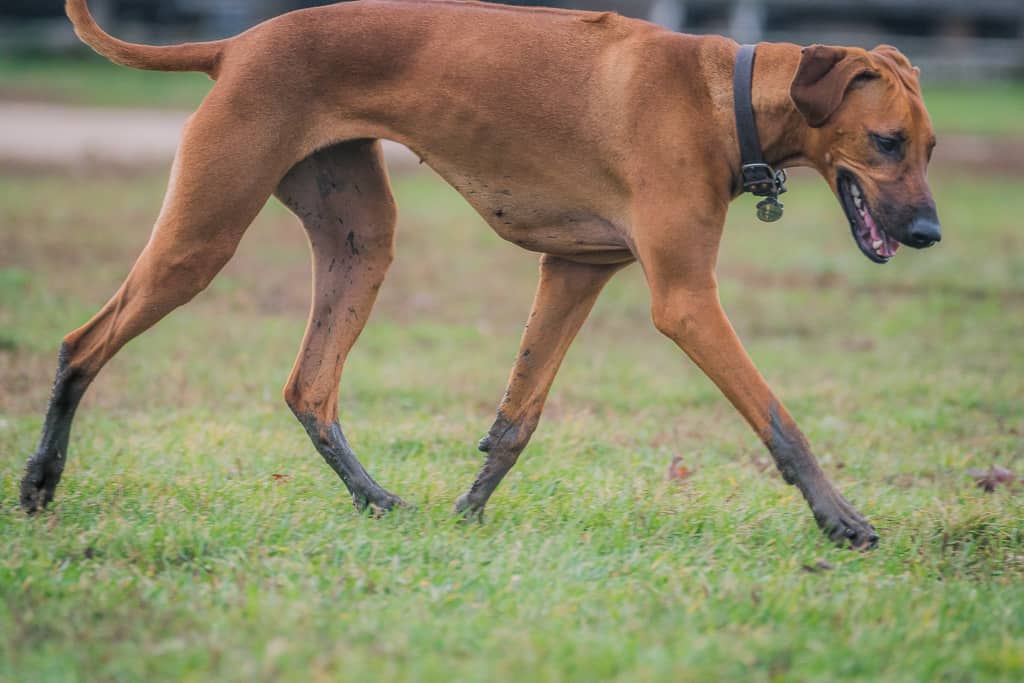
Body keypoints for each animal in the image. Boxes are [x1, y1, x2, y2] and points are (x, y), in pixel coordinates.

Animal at [18, 0, 942, 548]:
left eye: (931, 149)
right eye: (887, 142)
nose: (930, 232)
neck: (727, 94)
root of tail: (236, 43)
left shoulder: (573, 270)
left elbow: (517, 417)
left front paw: (470, 509)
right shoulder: (684, 302)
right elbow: (779, 419)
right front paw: (839, 517)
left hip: (359, 242)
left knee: (309, 386)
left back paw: (374, 497)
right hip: (201, 238)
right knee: (81, 343)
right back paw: (39, 482)